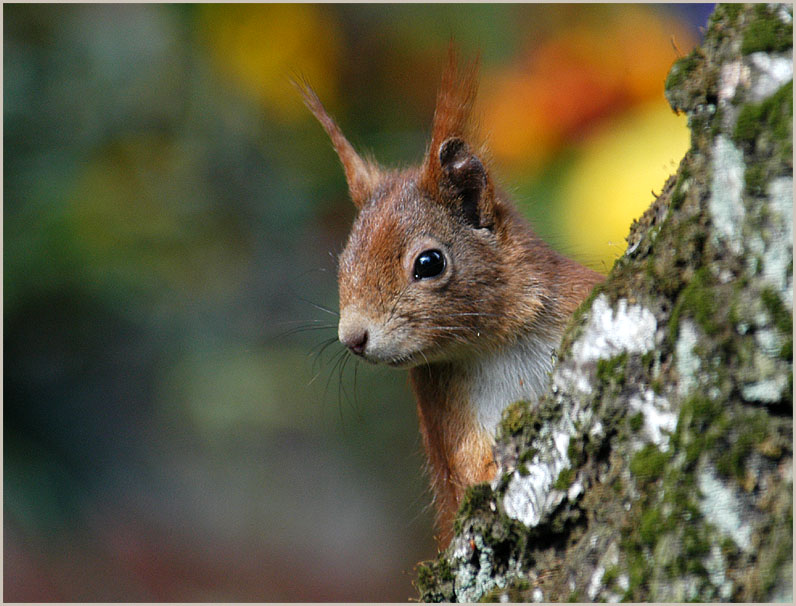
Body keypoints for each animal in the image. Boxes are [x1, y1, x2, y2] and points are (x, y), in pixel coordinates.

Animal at [298, 50, 604, 548]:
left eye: (429, 263)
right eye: (343, 261)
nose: (352, 338)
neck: (499, 344)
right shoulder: (447, 416)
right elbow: (473, 469)